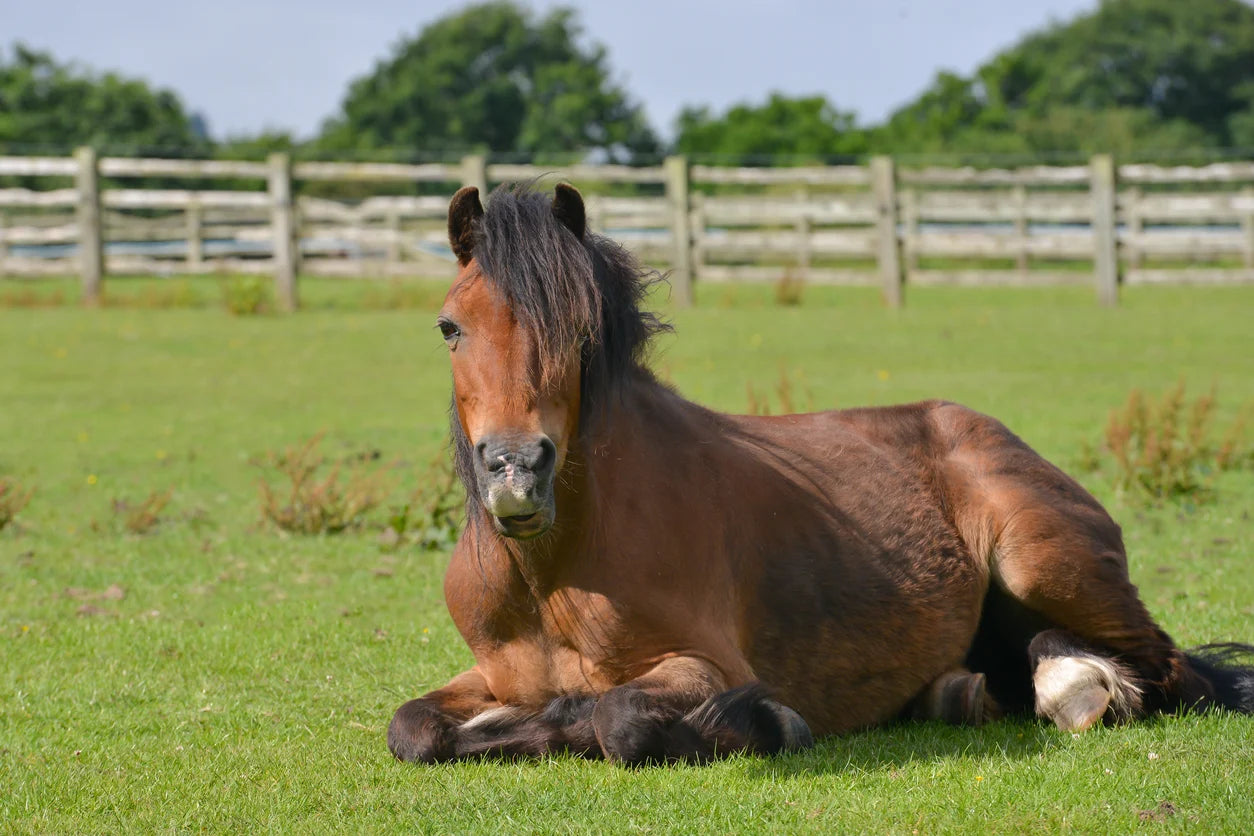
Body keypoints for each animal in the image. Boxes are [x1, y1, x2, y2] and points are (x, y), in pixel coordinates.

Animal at [387, 182, 1254, 765]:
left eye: (578, 332)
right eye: (449, 327)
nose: (516, 473)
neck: (553, 573)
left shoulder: (705, 667)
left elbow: (619, 719)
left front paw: (770, 723)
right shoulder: (489, 673)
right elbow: (413, 727)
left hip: (1039, 560)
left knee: (1174, 671)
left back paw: (1079, 689)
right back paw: (977, 691)